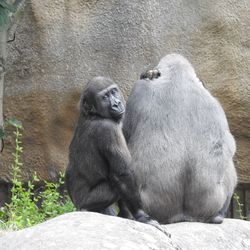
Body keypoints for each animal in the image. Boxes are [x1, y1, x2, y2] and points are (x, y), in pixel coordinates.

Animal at [65, 77, 162, 229]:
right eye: (104, 97)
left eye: (113, 91)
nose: (116, 104)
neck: (93, 114)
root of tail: (77, 204)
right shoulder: (108, 129)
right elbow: (123, 174)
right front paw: (141, 214)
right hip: (86, 201)